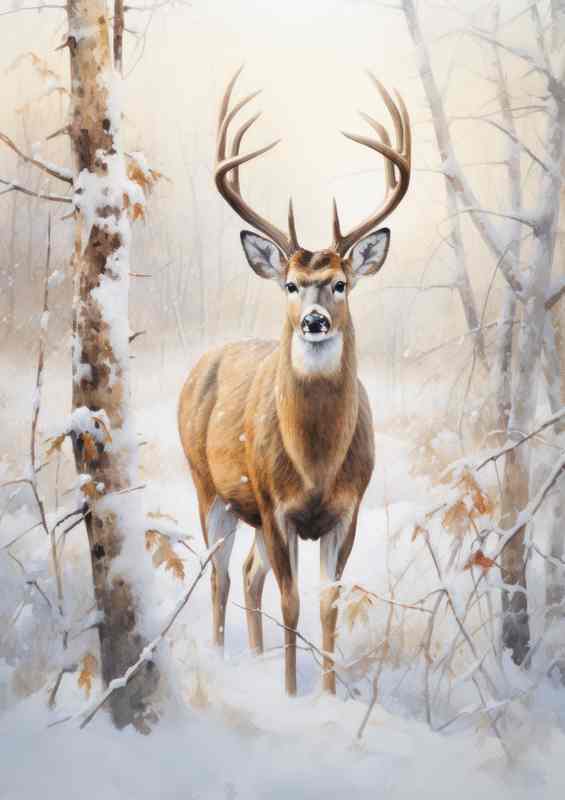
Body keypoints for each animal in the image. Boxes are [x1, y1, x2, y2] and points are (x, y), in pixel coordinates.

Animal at [178, 67, 411, 696]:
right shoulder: (275, 505)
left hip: (250, 513)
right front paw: (289, 692)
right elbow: (291, 602)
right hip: (210, 487)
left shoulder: (347, 511)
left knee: (248, 573)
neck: (315, 466)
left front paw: (326, 694)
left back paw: (254, 658)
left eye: (340, 283)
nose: (314, 321)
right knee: (221, 576)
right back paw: (221, 656)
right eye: (289, 284)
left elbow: (328, 603)